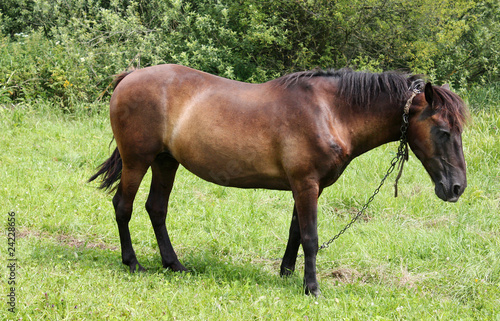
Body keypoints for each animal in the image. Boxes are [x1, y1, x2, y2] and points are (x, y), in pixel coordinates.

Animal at [90, 63, 468, 296]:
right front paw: (312, 288)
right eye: (443, 131)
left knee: (156, 209)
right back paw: (133, 263)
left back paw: (174, 264)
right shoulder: (305, 184)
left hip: (166, 163)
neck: (330, 112)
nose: (456, 188)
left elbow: (296, 232)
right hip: (138, 161)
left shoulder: (307, 187)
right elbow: (311, 237)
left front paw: (288, 274)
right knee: (123, 207)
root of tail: (130, 76)